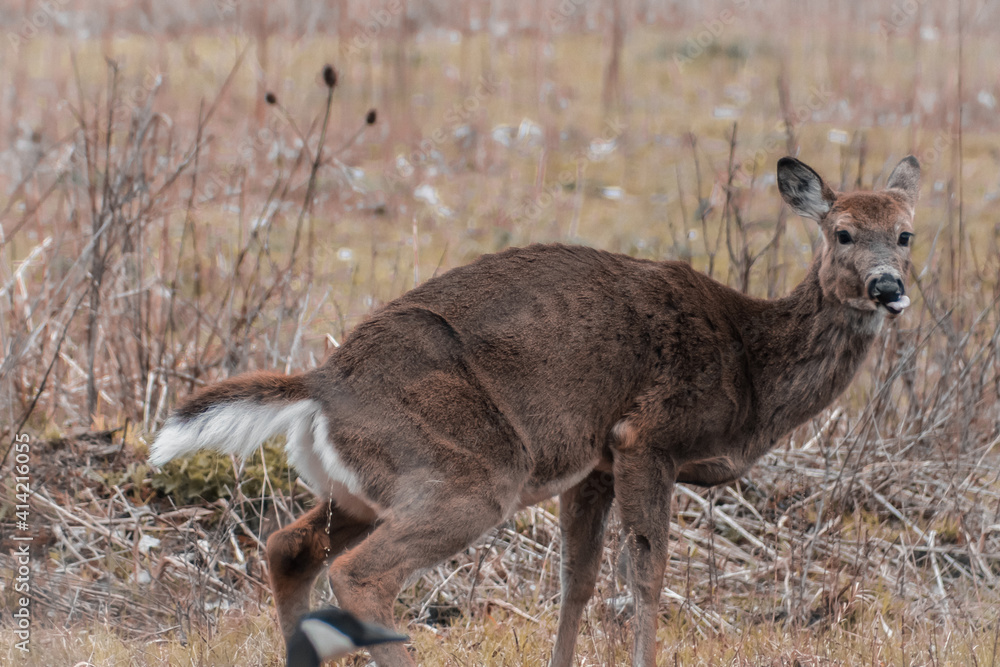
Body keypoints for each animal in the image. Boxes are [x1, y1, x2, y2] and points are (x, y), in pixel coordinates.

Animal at [150, 155, 920, 666]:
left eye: (906, 234)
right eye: (842, 232)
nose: (888, 288)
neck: (749, 364)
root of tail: (321, 381)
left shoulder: (594, 463)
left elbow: (577, 581)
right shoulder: (646, 436)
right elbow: (647, 576)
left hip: (363, 486)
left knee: (289, 547)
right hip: (471, 471)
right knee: (363, 573)